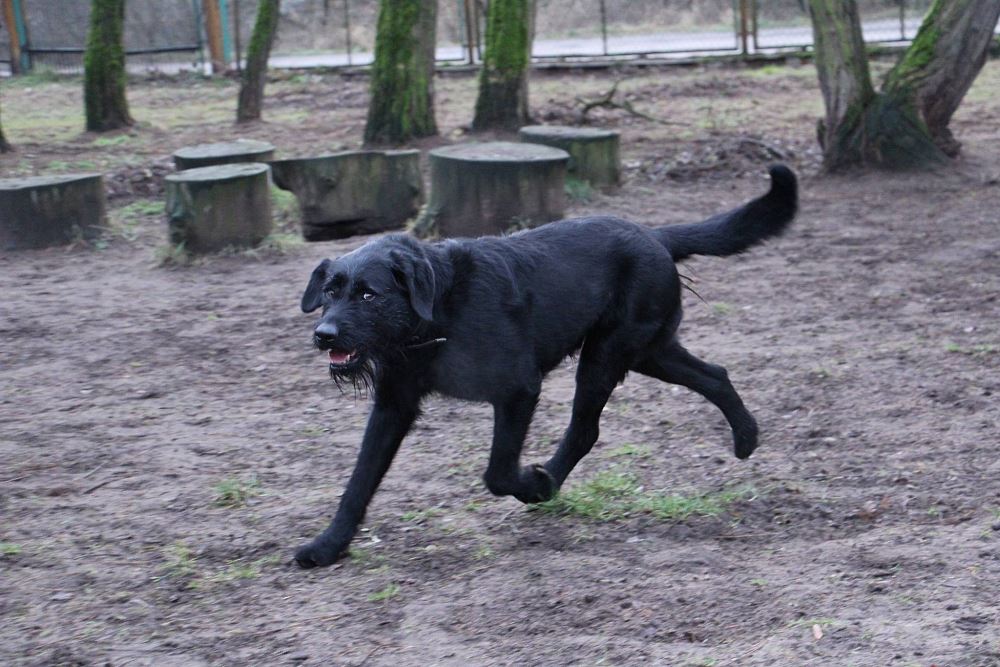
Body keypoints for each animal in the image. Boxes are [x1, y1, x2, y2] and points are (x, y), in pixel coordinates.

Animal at [293, 165, 798, 568]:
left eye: (368, 294)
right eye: (331, 290)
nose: (324, 335)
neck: (438, 314)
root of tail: (655, 235)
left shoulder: (519, 389)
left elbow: (498, 472)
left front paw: (533, 483)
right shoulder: (393, 406)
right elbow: (358, 483)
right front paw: (327, 546)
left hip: (605, 357)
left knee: (586, 429)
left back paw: (549, 481)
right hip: (649, 352)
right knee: (715, 375)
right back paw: (746, 436)